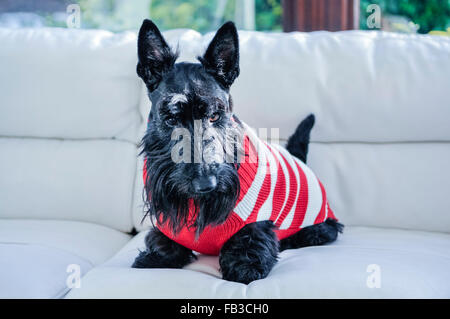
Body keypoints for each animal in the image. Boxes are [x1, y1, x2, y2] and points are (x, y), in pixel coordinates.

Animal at [132, 20, 342, 284]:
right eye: (171, 119)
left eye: (215, 115)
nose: (206, 184)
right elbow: (163, 241)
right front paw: (155, 257)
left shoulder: (257, 216)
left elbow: (250, 240)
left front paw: (245, 267)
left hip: (319, 222)